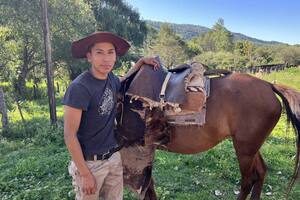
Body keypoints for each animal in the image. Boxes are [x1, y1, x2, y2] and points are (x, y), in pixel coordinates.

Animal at [117, 68, 300, 198]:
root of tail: (269, 85)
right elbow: (149, 186)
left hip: (245, 149)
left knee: (248, 181)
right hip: (251, 147)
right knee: (261, 172)